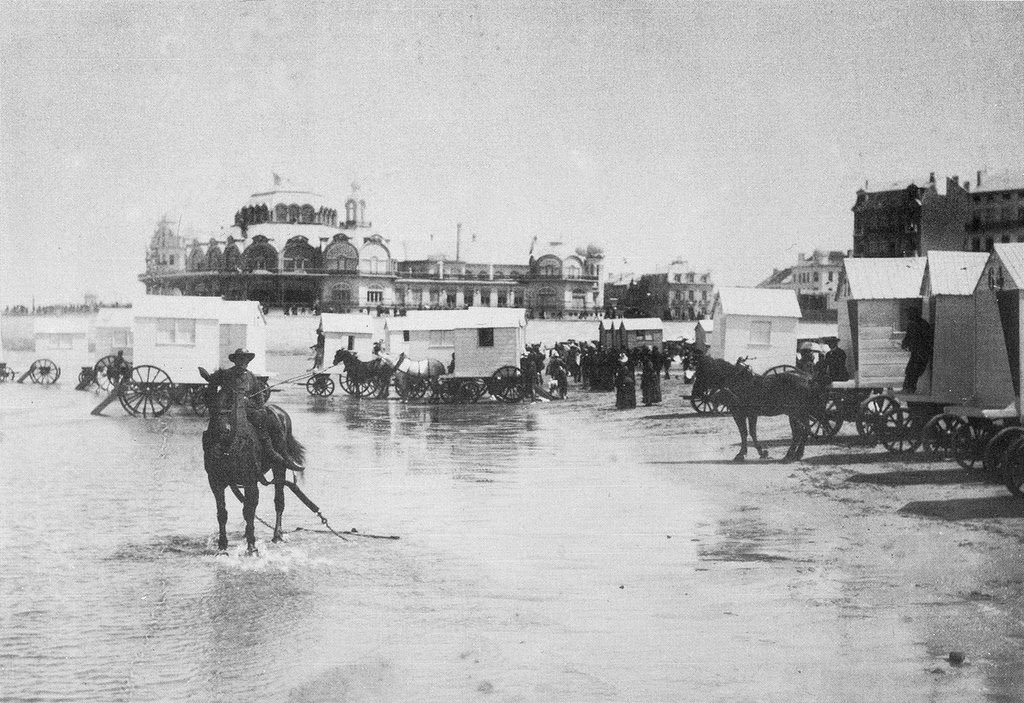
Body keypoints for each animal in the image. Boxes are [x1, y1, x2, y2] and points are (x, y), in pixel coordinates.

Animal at [199, 368, 303, 556]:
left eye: (231, 399)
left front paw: (252, 547)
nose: (223, 431)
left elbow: (249, 511)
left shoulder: (250, 481)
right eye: (207, 397)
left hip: (279, 468)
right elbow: (222, 513)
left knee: (279, 501)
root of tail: (280, 413)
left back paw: (277, 535)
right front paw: (222, 546)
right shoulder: (215, 481)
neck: (229, 446)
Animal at [688, 354, 823, 464]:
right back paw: (795, 455)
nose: (696, 393)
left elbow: (747, 432)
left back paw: (791, 455)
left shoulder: (742, 414)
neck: (737, 382)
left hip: (797, 413)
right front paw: (756, 453)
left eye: (701, 373)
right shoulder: (746, 414)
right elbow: (748, 433)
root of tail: (808, 379)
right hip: (797, 413)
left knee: (801, 432)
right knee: (802, 431)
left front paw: (746, 454)